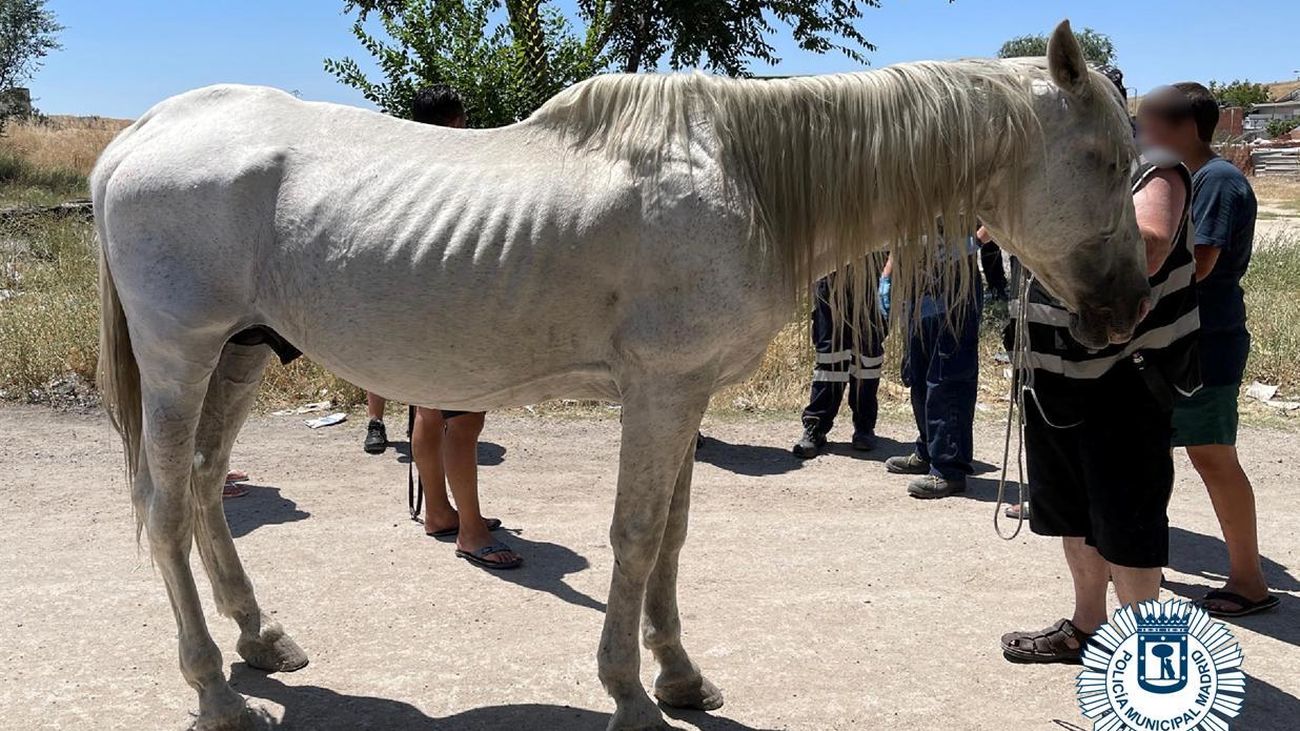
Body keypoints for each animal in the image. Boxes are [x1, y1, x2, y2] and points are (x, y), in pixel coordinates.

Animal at [93, 20, 1142, 731]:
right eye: (1101, 156)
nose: (1128, 307)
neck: (750, 176)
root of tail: (138, 137)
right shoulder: (662, 392)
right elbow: (635, 539)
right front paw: (632, 694)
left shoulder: (683, 397)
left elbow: (671, 538)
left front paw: (678, 675)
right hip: (183, 355)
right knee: (163, 504)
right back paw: (215, 688)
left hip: (240, 353)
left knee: (202, 490)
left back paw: (258, 640)